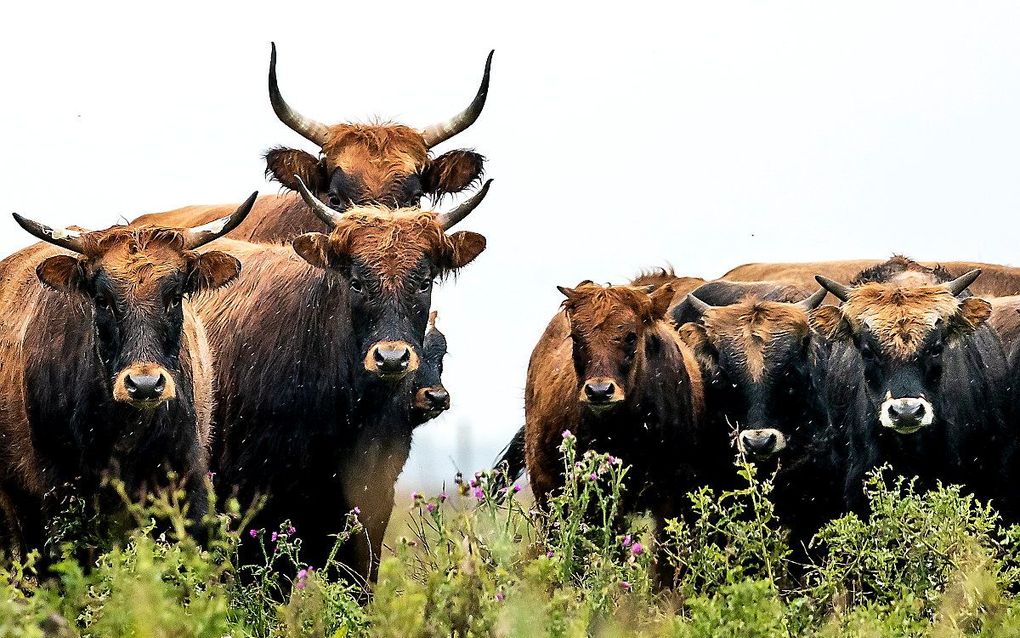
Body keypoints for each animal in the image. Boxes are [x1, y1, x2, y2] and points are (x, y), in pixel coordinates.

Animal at [0, 194, 255, 555]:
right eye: (102, 299)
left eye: (174, 297)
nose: (145, 385)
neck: (125, 433)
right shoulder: (55, 497)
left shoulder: (189, 485)